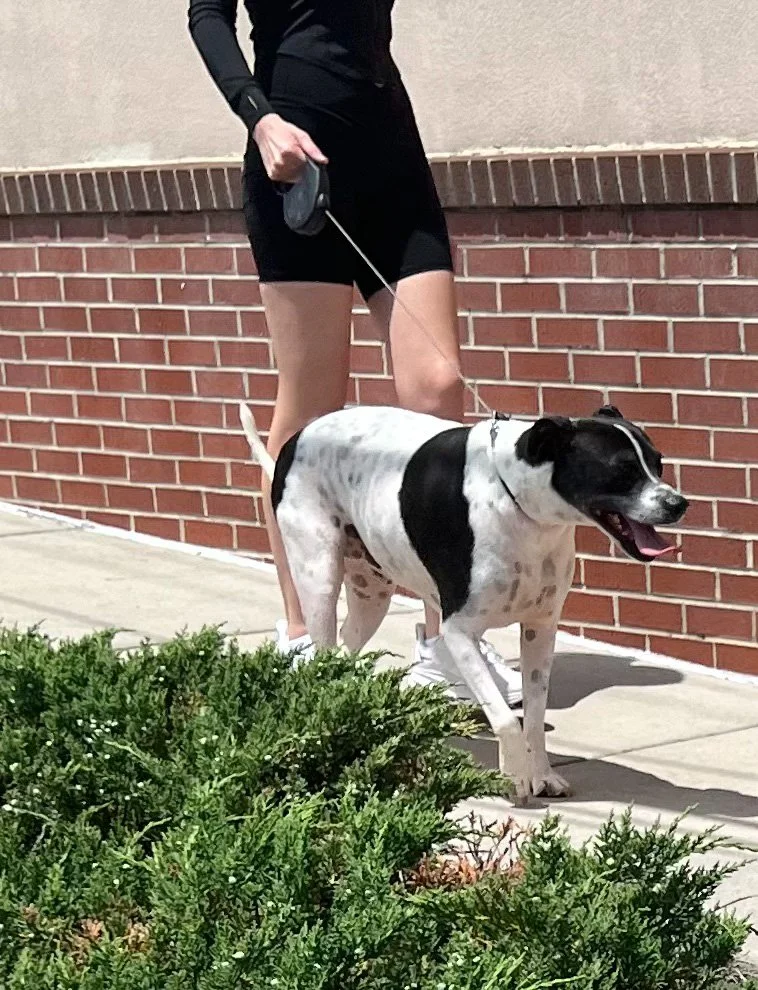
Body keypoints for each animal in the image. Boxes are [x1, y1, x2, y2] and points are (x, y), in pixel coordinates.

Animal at [240, 402, 688, 804]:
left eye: (658, 464)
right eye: (622, 470)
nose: (678, 503)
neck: (519, 503)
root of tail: (297, 438)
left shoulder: (541, 628)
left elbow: (534, 716)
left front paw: (541, 775)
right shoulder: (459, 632)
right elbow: (505, 718)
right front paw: (515, 779)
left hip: (371, 595)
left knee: (342, 655)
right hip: (318, 579)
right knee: (322, 656)